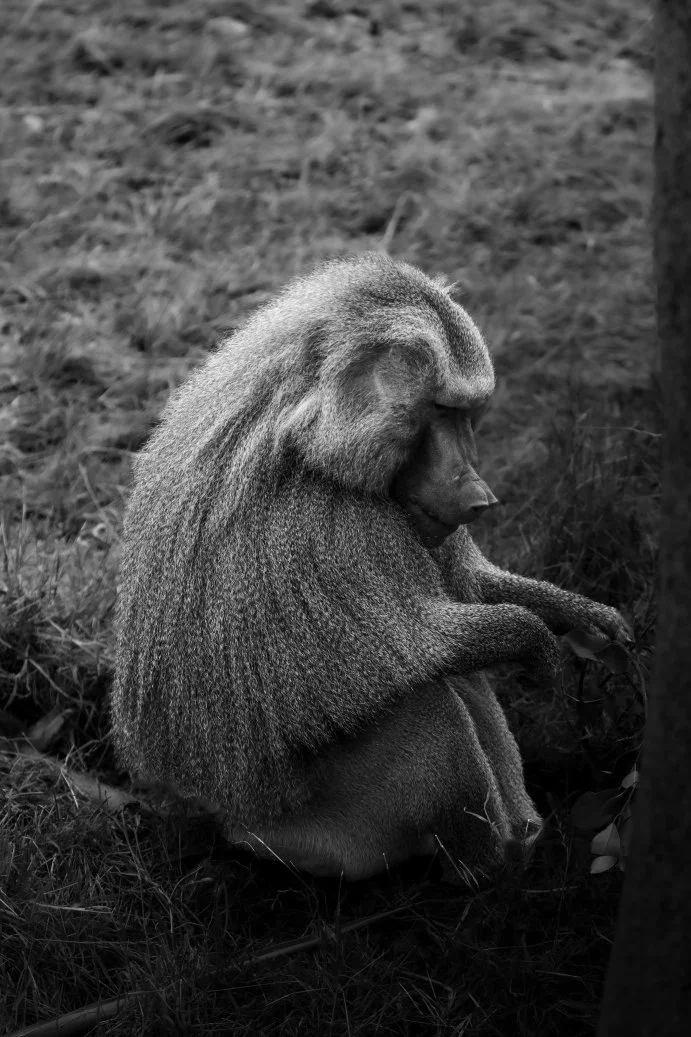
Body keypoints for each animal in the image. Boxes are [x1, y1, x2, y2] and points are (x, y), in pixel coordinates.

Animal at [111, 252, 631, 884]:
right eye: (439, 410)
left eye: (465, 415)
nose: (480, 498)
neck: (306, 429)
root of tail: (222, 820)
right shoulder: (330, 527)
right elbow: (419, 644)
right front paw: (539, 645)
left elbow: (469, 591)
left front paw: (587, 619)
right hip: (328, 831)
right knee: (435, 706)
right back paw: (491, 870)